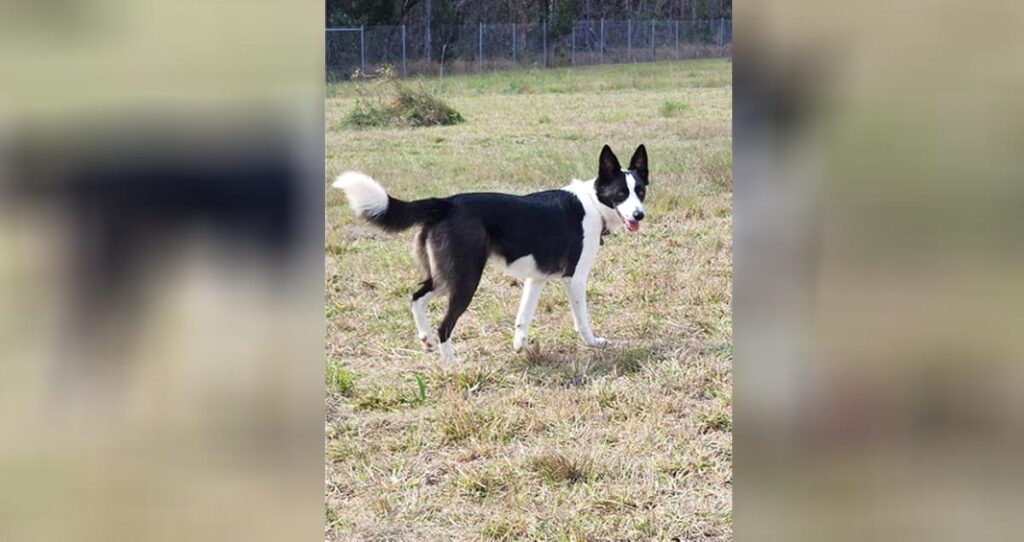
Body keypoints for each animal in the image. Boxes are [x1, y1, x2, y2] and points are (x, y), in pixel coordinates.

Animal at [331, 145, 647, 360]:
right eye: (621, 193)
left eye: (641, 191)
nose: (639, 215)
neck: (593, 203)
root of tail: (444, 203)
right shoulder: (575, 279)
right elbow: (582, 320)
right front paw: (593, 343)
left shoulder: (536, 279)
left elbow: (523, 318)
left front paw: (521, 347)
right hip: (465, 279)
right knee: (444, 325)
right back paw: (451, 363)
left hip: (446, 276)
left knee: (417, 296)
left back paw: (426, 339)